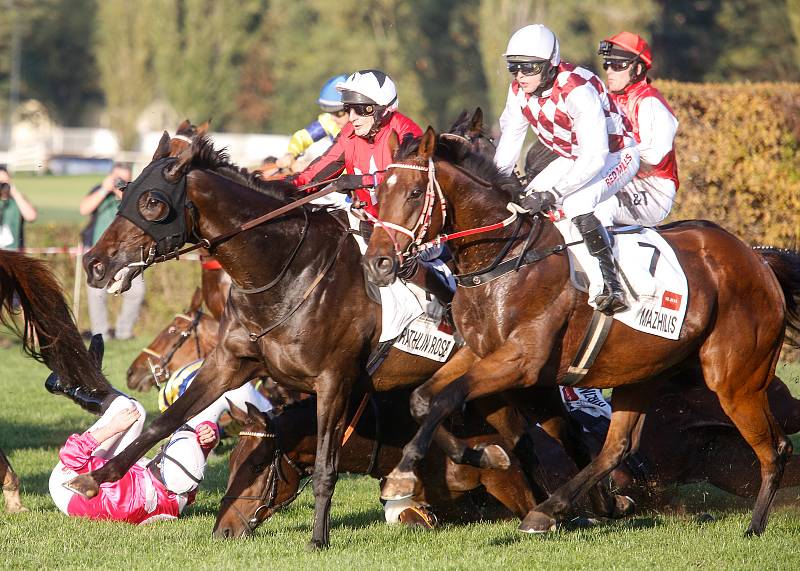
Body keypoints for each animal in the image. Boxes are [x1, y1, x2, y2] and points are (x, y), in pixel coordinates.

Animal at [72, 134, 516, 548]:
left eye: (152, 203)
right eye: (124, 192)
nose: (94, 264)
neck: (286, 271)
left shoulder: (333, 383)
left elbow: (324, 465)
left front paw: (319, 537)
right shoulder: (229, 363)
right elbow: (166, 420)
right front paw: (97, 477)